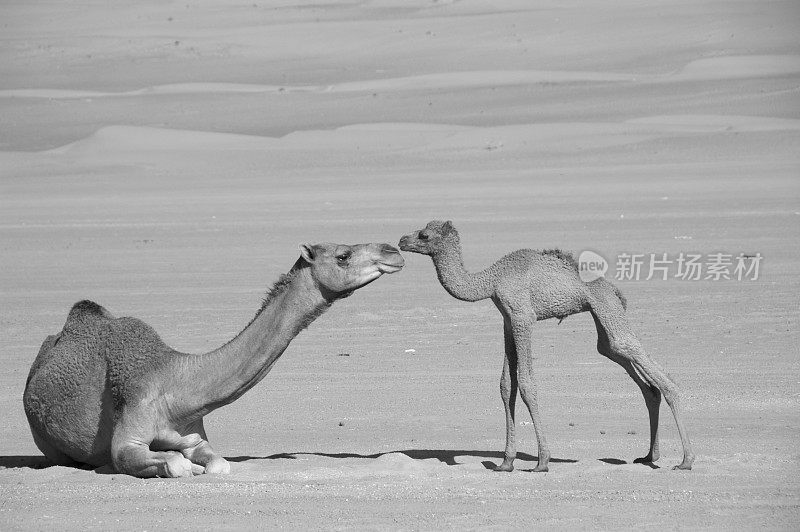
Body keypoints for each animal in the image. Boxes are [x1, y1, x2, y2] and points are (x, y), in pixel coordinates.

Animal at [25, 241, 406, 478]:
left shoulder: (193, 435)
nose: (394, 251)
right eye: (343, 255)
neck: (176, 385)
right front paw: (182, 466)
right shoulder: (128, 434)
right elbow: (171, 464)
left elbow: (217, 464)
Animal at [400, 222, 692, 472]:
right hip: (602, 320)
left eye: (424, 235)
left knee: (638, 355)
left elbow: (527, 385)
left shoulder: (523, 317)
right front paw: (506, 462)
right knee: (626, 364)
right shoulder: (508, 321)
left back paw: (686, 460)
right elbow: (506, 386)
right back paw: (649, 455)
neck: (491, 281)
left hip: (606, 307)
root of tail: (614, 290)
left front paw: (542, 461)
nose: (402, 240)